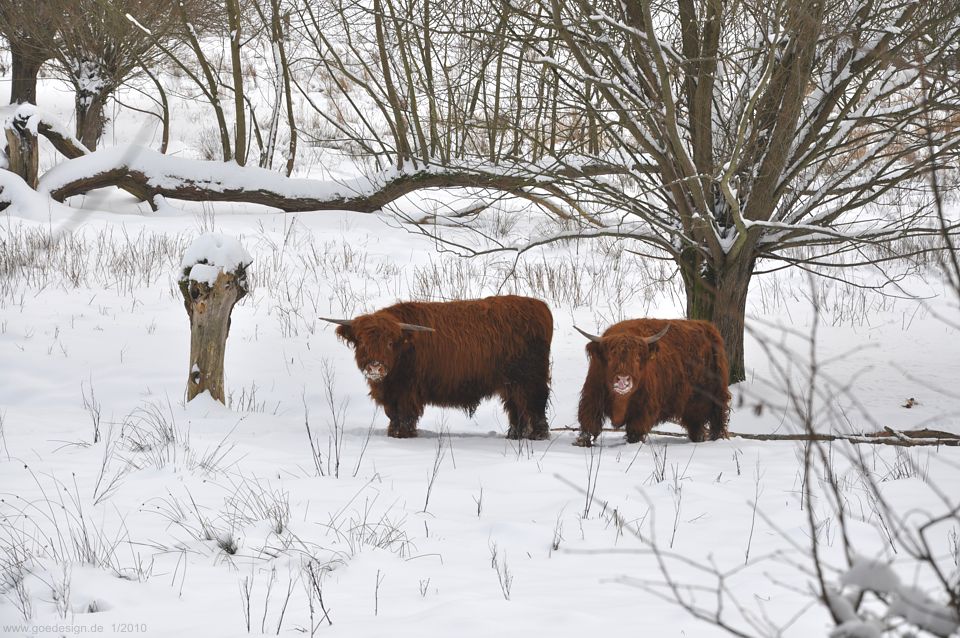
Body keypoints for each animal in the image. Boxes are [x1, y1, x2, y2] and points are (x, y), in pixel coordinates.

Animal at [322, 296, 552, 440]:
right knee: (517, 408)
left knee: (536, 405)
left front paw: (404, 435)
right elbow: (393, 415)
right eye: (361, 342)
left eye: (390, 343)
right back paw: (514, 436)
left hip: (531, 379)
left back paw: (537, 436)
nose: (375, 368)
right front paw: (392, 434)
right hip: (512, 384)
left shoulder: (408, 390)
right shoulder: (390, 394)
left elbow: (405, 415)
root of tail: (540, 306)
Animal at [572, 318, 732, 448]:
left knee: (717, 421)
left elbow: (635, 431)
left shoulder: (643, 408)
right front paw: (582, 443)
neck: (620, 402)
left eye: (637, 358)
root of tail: (707, 326)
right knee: (696, 424)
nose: (623, 380)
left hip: (716, 397)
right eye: (610, 358)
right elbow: (589, 425)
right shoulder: (592, 398)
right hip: (693, 405)